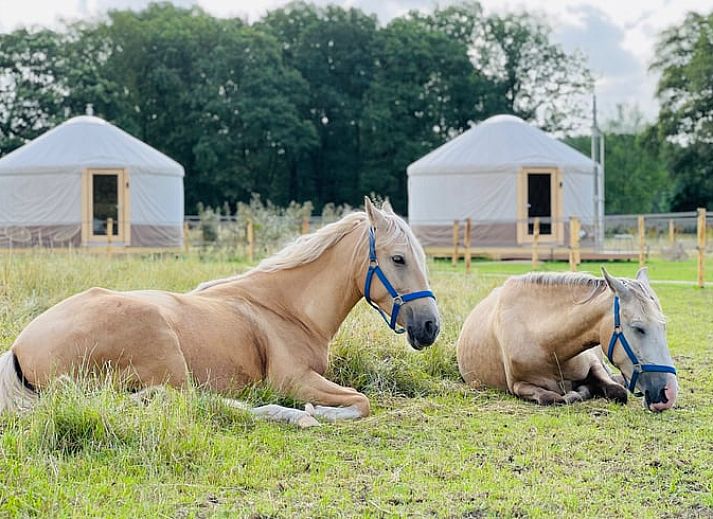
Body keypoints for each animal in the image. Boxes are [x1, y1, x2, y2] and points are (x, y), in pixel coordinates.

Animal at [0, 198, 440, 427]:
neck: (285, 309)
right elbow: (362, 402)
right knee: (189, 402)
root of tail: (20, 348)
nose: (431, 326)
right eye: (398, 258)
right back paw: (294, 415)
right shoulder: (295, 379)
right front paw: (320, 412)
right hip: (165, 352)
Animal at [456, 268, 678, 412]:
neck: (548, 346)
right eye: (639, 328)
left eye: (664, 326)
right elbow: (553, 398)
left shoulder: (594, 364)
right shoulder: (519, 385)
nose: (669, 394)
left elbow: (617, 391)